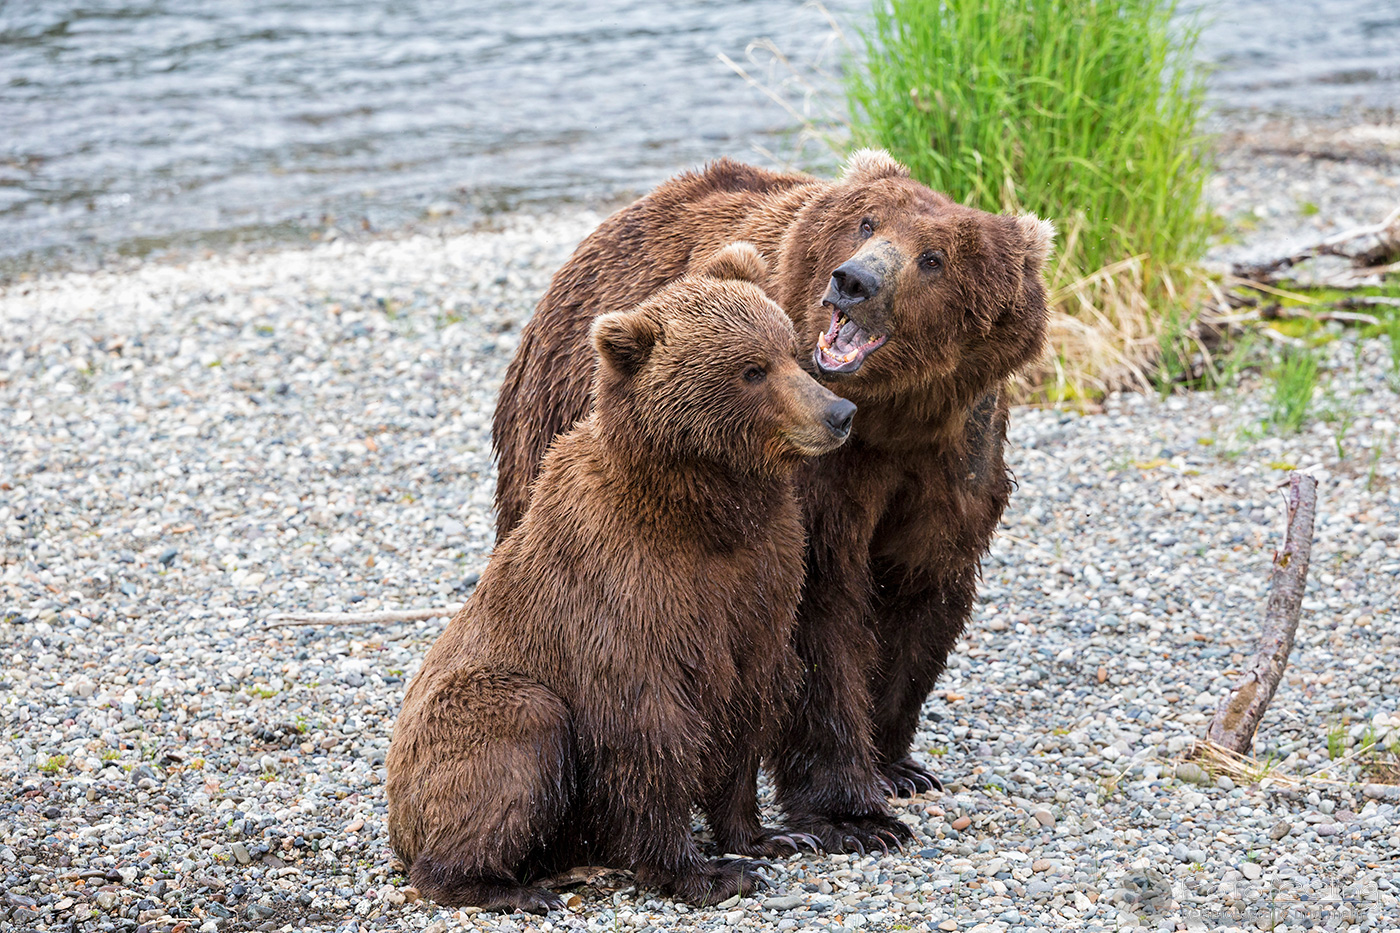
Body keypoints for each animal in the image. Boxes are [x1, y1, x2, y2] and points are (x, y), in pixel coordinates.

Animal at [386, 243, 858, 913]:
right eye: (751, 370)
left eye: (791, 349)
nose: (839, 413)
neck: (700, 508)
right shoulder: (625, 589)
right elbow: (644, 728)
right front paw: (702, 872)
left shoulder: (763, 576)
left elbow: (749, 703)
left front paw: (769, 838)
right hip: (469, 715)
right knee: (517, 730)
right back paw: (503, 885)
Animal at [491, 150, 1053, 853]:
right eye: (866, 223)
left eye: (935, 258)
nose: (853, 282)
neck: (892, 415)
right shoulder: (811, 475)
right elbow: (817, 616)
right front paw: (853, 814)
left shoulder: (954, 458)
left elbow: (923, 597)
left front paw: (898, 767)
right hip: (557, 422)